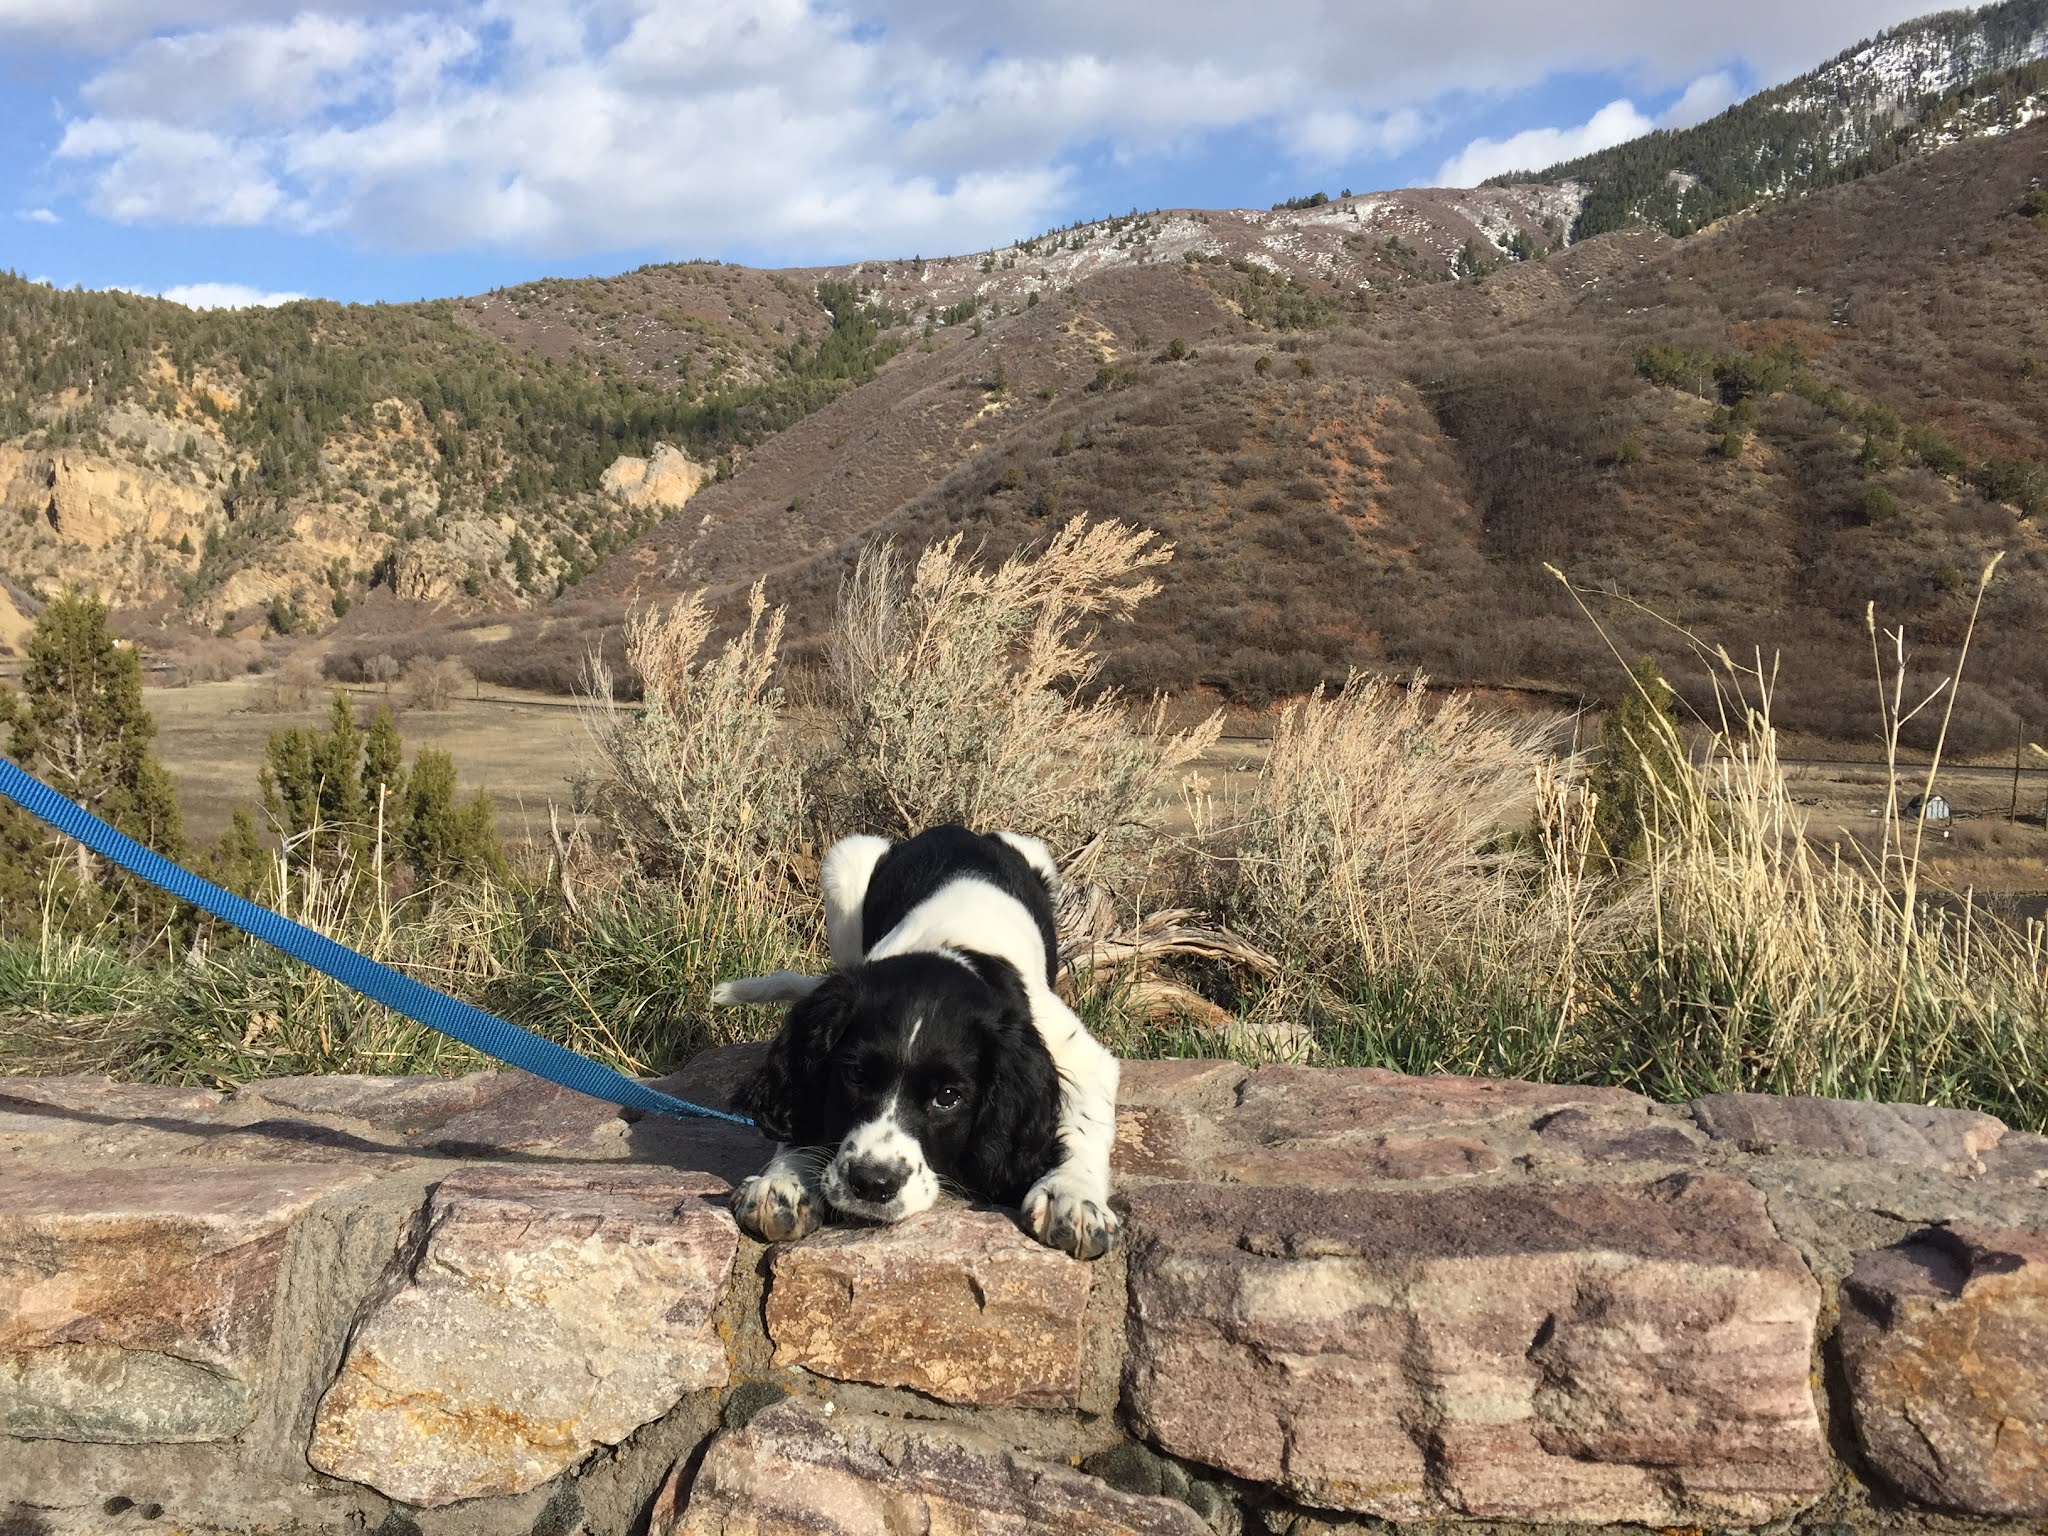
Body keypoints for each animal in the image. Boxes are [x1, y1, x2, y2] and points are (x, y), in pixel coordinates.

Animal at [716, 831, 1122, 1261]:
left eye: (948, 1097)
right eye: (856, 1075)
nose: (873, 1184)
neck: (951, 948)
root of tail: (958, 829)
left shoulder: (1077, 1053)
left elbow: (1085, 1123)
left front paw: (1072, 1197)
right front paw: (783, 1181)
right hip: (844, 866)